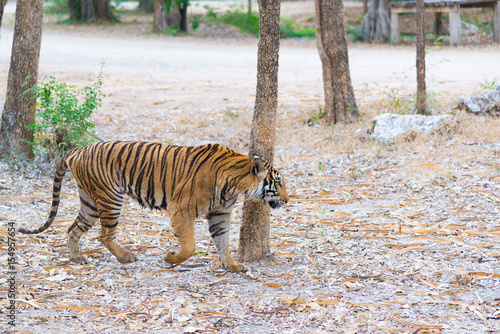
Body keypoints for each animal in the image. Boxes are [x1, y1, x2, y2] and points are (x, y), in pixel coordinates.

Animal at [18, 140, 290, 272]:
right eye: (278, 182)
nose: (288, 200)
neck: (236, 185)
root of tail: (77, 149)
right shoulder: (181, 210)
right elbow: (189, 246)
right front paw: (171, 259)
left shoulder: (220, 215)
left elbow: (223, 243)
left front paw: (232, 266)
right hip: (110, 198)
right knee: (105, 234)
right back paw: (126, 257)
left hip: (90, 203)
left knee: (72, 229)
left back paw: (77, 259)